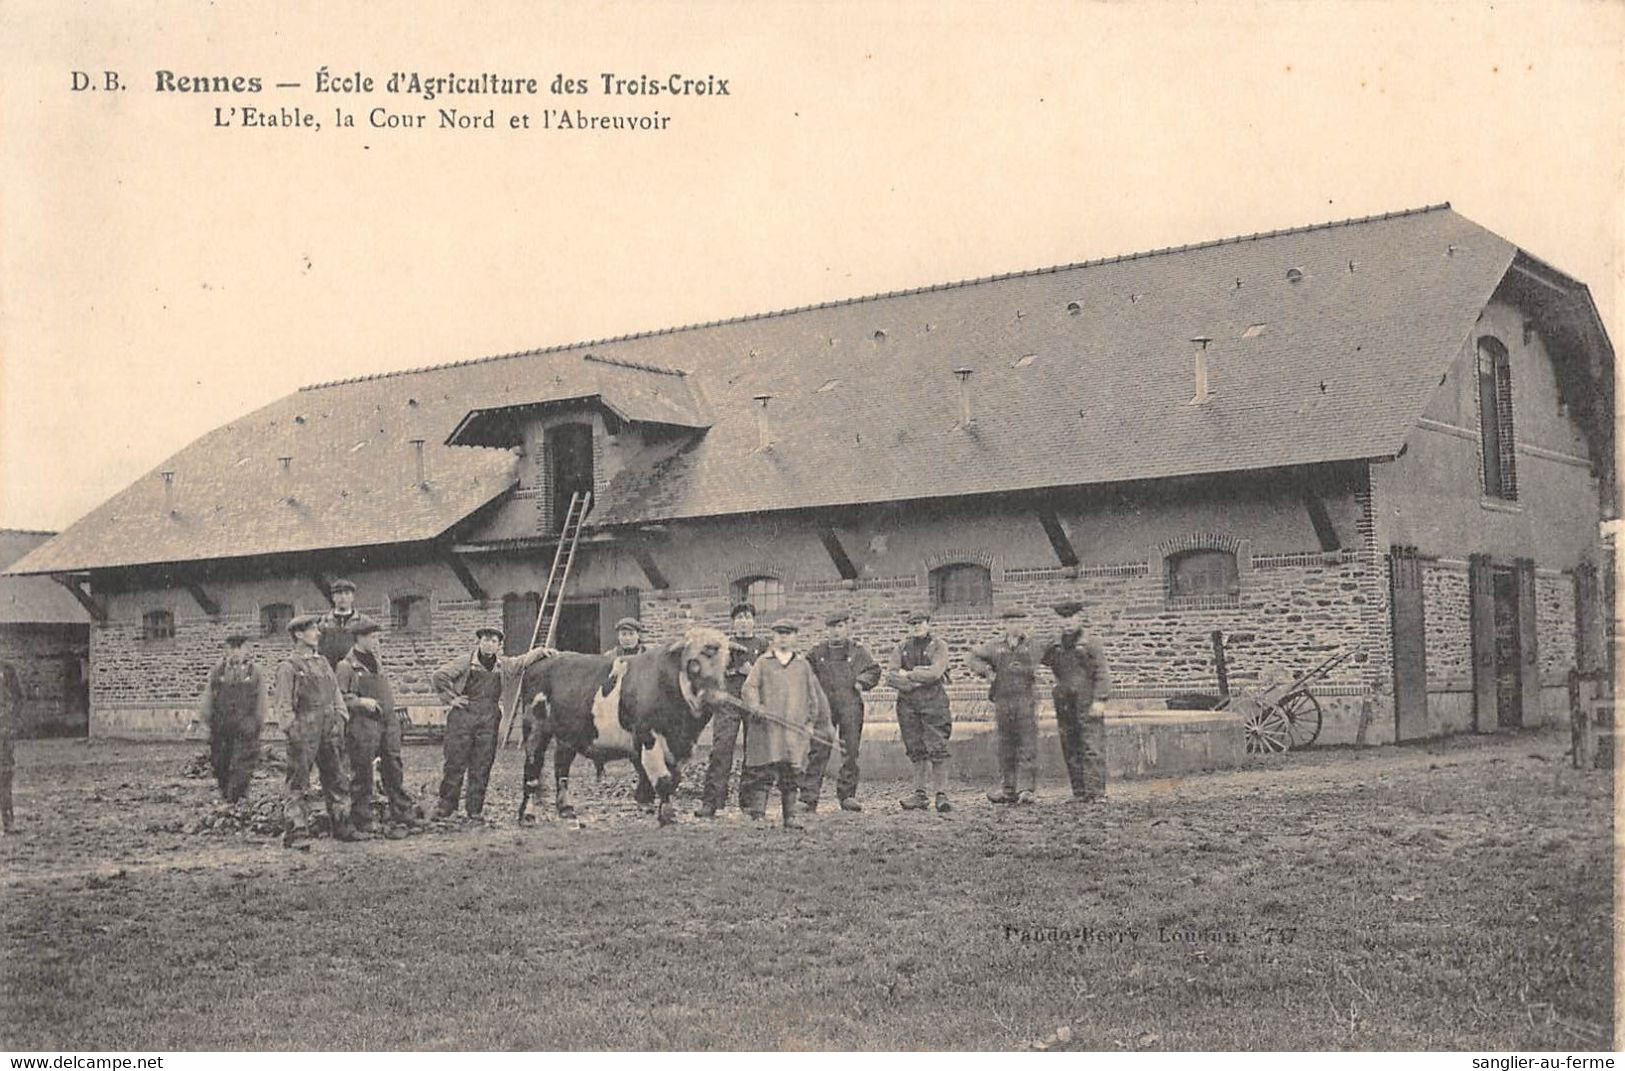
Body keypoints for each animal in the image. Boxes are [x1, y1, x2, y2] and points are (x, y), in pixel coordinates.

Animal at [516, 624, 734, 825]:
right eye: (693, 663)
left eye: (725, 664)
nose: (716, 696)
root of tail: (541, 662)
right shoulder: (648, 736)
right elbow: (663, 779)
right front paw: (667, 816)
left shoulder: (680, 746)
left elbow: (674, 779)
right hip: (535, 728)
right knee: (532, 769)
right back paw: (527, 815)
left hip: (567, 736)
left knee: (561, 769)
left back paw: (566, 809)